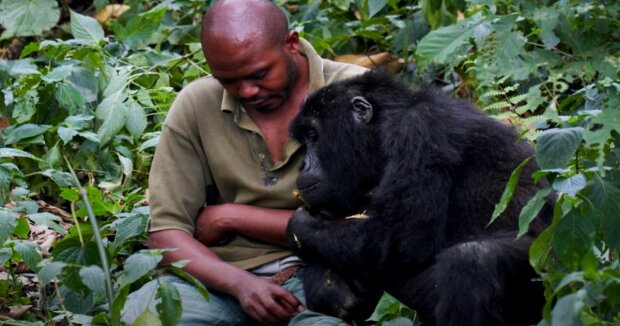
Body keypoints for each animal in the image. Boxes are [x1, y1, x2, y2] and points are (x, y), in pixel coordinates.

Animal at [286, 70, 552, 324]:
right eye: (304, 140)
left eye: (313, 135)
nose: (303, 165)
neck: (384, 128)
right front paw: (326, 283)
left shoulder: (418, 129)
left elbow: (398, 238)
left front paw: (299, 226)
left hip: (547, 272)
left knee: (471, 262)